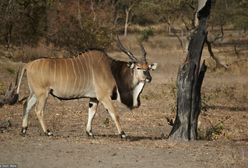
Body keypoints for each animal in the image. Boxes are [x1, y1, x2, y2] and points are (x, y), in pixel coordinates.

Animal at [7, 37, 157, 138]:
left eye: (148, 68)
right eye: (139, 68)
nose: (149, 78)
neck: (111, 70)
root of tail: (28, 64)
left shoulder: (94, 98)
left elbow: (92, 113)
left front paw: (89, 132)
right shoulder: (104, 97)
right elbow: (115, 114)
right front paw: (123, 134)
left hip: (34, 93)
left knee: (26, 105)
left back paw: (24, 130)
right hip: (43, 93)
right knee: (38, 110)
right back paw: (48, 132)